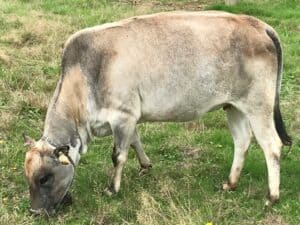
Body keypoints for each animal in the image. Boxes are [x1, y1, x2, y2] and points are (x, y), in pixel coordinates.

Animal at [23, 11, 290, 216]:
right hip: (234, 106)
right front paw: (145, 165)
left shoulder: (123, 116)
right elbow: (135, 141)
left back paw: (272, 196)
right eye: (28, 178)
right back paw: (231, 183)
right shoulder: (131, 117)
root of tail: (258, 24)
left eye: (44, 178)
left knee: (272, 145)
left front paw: (112, 188)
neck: (85, 77)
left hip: (259, 106)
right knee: (242, 141)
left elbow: (118, 155)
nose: (35, 212)